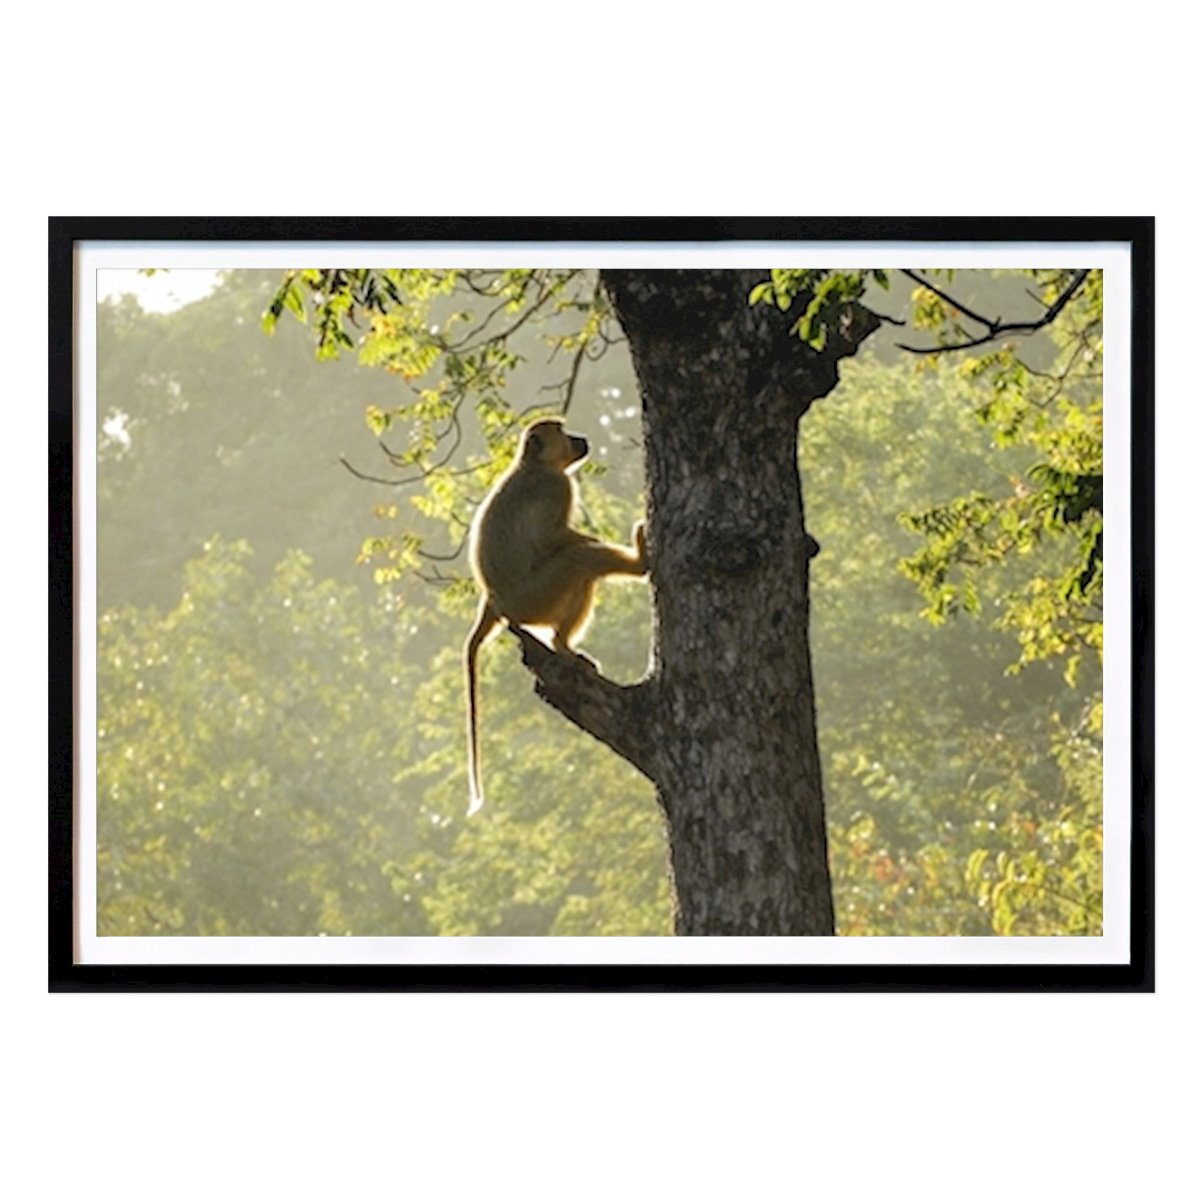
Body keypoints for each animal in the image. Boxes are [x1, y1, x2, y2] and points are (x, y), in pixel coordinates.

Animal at [464, 418, 647, 814]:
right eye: (564, 434)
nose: (581, 439)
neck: (532, 464)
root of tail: (493, 600)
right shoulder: (556, 486)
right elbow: (551, 539)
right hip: (534, 597)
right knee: (578, 560)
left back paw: (561, 644)